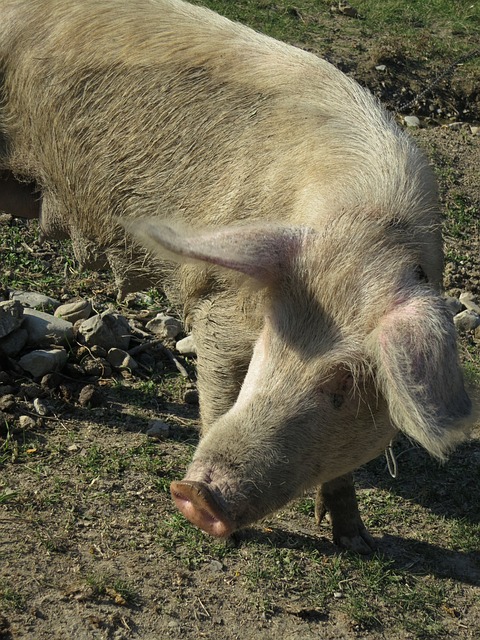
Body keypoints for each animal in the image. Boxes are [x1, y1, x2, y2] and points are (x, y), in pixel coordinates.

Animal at [0, 0, 472, 552]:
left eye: (346, 384)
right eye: (270, 341)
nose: (193, 496)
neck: (359, 227)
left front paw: (356, 542)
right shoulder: (215, 302)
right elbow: (217, 391)